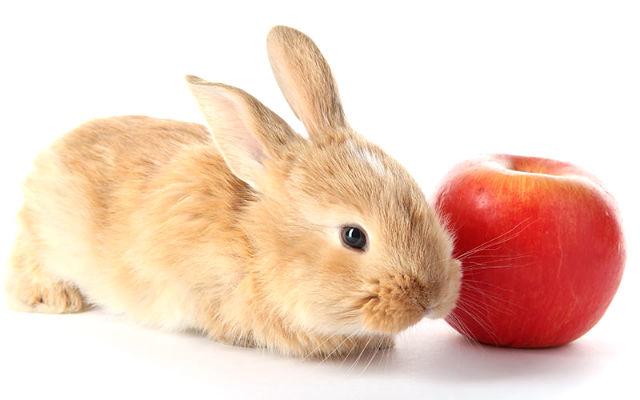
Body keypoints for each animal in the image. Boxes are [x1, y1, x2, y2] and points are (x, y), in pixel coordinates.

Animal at [6, 26, 461, 358]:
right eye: (354, 236)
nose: (434, 299)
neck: (254, 244)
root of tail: (52, 152)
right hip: (47, 239)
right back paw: (57, 297)